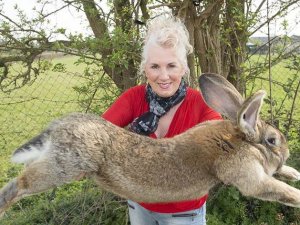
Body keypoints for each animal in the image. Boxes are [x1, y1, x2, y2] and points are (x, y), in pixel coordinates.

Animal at [0, 72, 300, 216]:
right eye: (272, 140)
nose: (286, 152)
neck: (238, 139)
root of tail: (55, 129)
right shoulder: (247, 175)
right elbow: (276, 189)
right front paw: (297, 194)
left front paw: (294, 172)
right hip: (64, 166)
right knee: (21, 183)